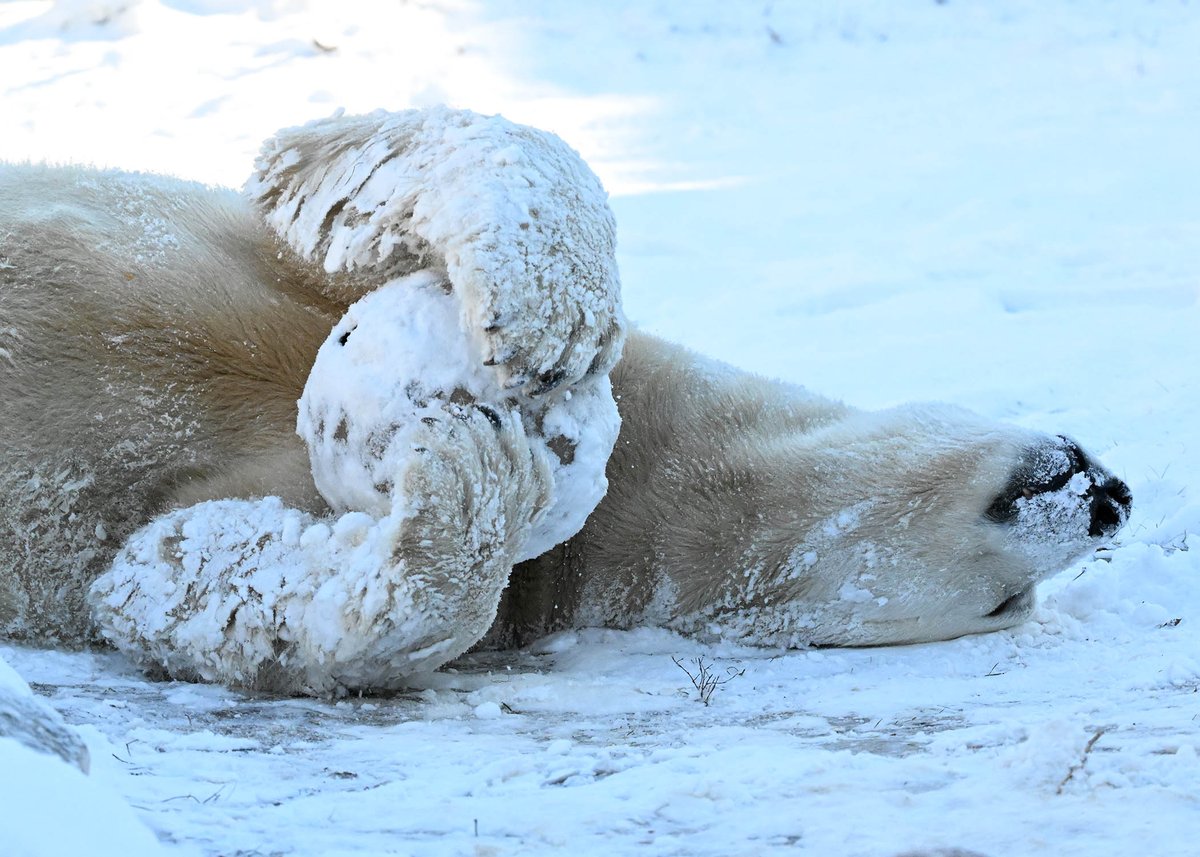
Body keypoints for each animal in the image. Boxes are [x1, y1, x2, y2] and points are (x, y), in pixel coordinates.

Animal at [0, 107, 1131, 696]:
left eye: (1008, 606)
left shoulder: (535, 589)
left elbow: (188, 580)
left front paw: (468, 475)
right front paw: (545, 321)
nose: (1109, 493)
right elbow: (372, 176)